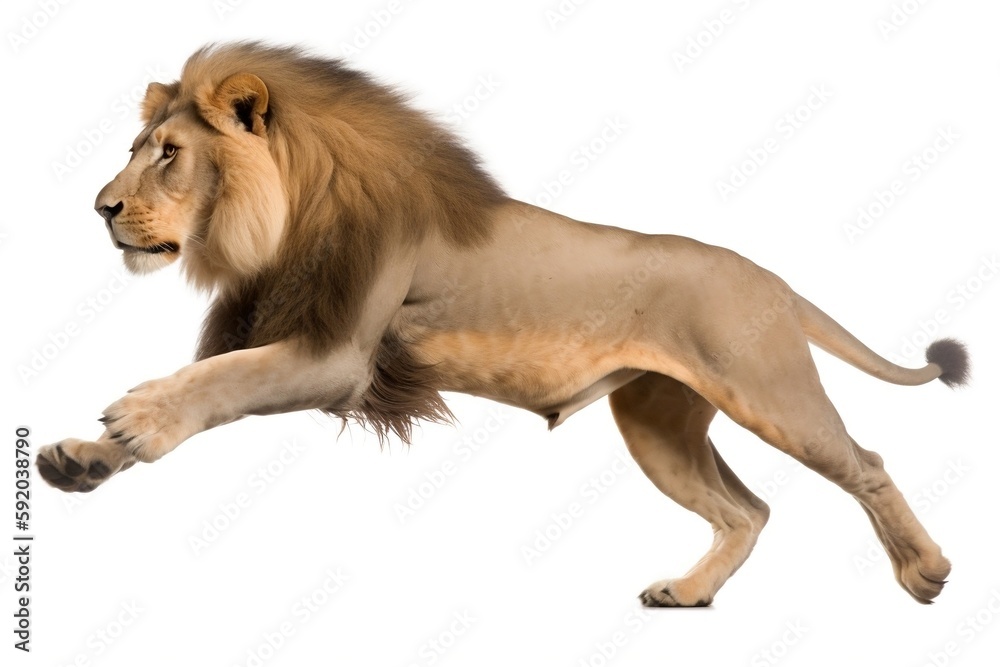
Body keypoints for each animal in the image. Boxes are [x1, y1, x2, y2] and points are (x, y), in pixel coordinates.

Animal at [37, 42, 969, 607]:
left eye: (169, 154)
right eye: (135, 147)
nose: (100, 208)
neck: (281, 221)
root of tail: (770, 276)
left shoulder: (340, 355)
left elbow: (220, 378)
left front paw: (139, 416)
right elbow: (192, 387)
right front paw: (81, 457)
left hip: (767, 389)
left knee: (867, 463)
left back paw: (926, 571)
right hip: (658, 423)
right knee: (749, 508)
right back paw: (688, 592)